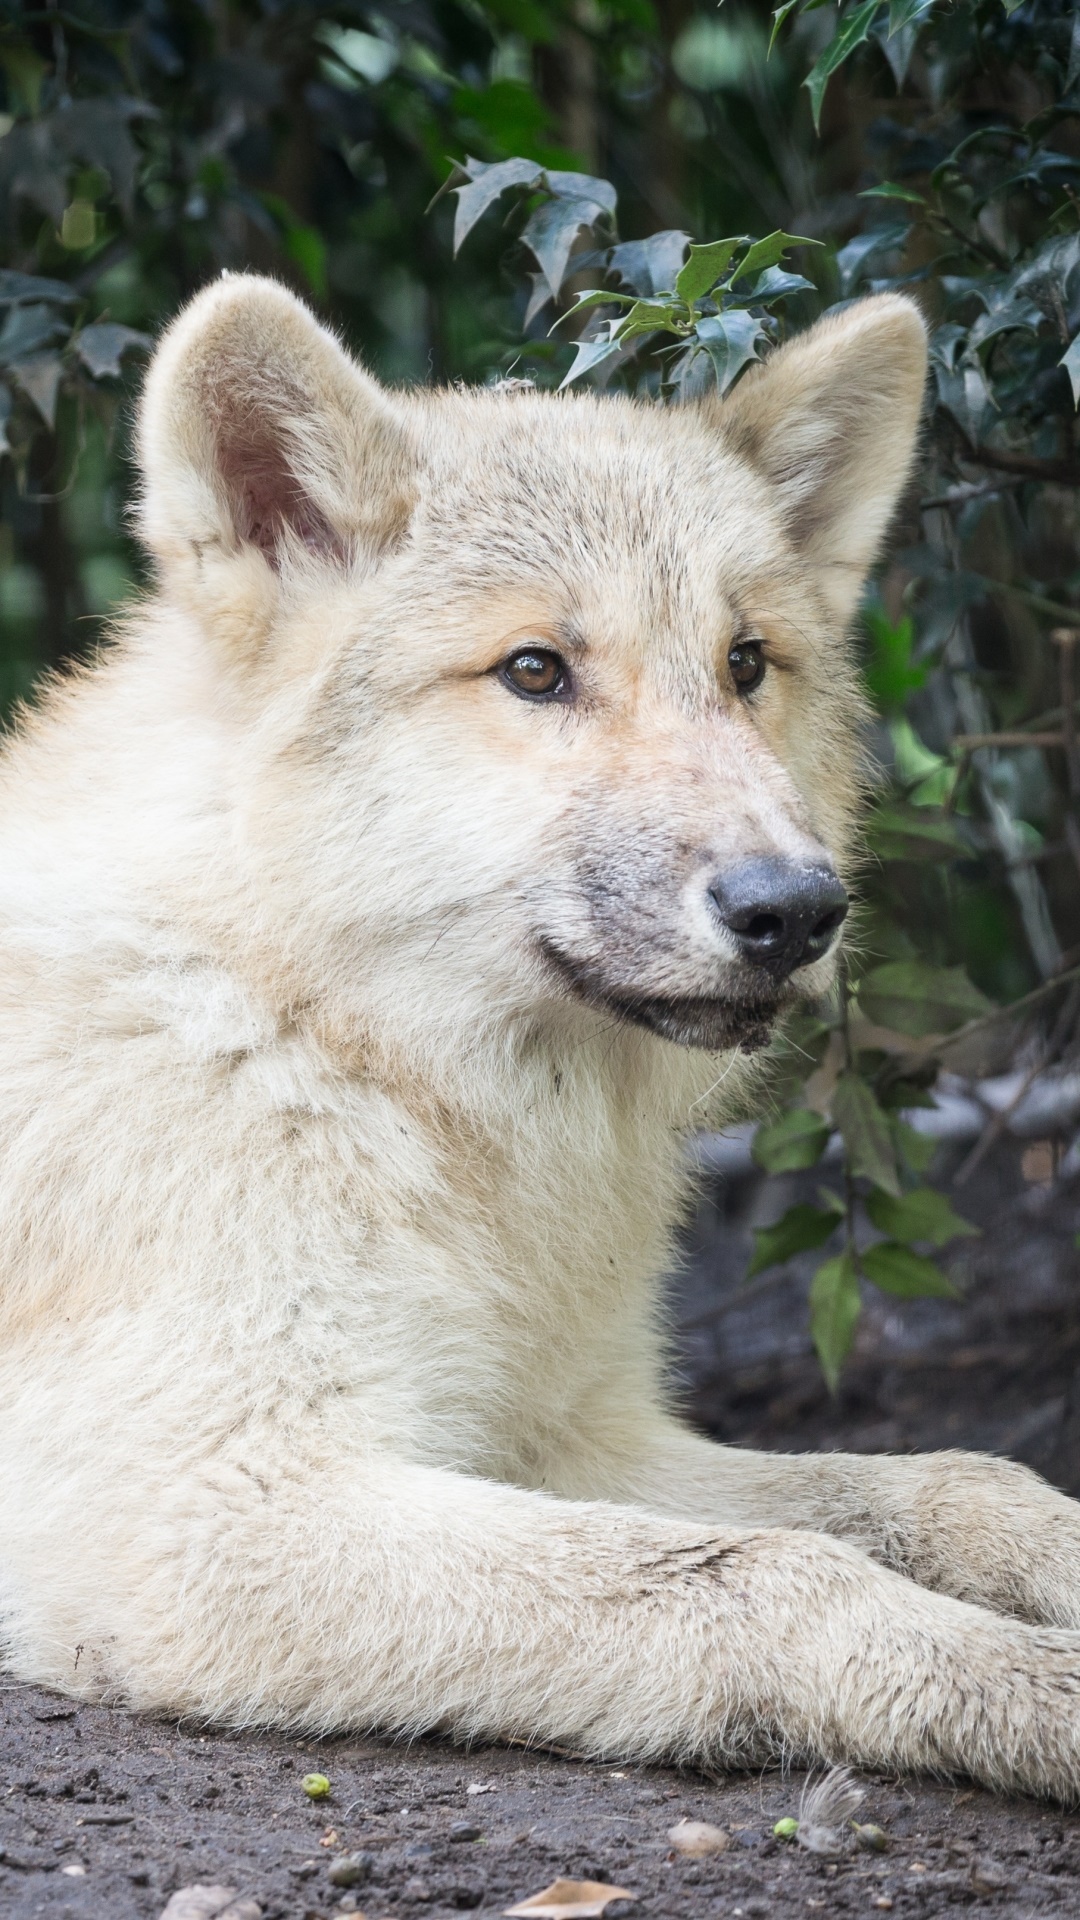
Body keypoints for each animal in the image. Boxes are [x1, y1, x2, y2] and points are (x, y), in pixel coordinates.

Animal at [2, 273, 1080, 1800]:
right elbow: (779, 1571)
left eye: (747, 664)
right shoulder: (206, 1511)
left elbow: (956, 1482)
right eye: (534, 672)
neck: (340, 1052)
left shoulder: (566, 1432)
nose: (797, 911)